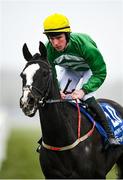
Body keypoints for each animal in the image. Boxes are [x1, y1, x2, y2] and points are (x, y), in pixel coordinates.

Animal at [19, 41, 123, 179]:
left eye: (45, 73)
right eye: (22, 75)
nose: (27, 102)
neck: (61, 140)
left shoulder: (96, 174)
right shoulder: (51, 175)